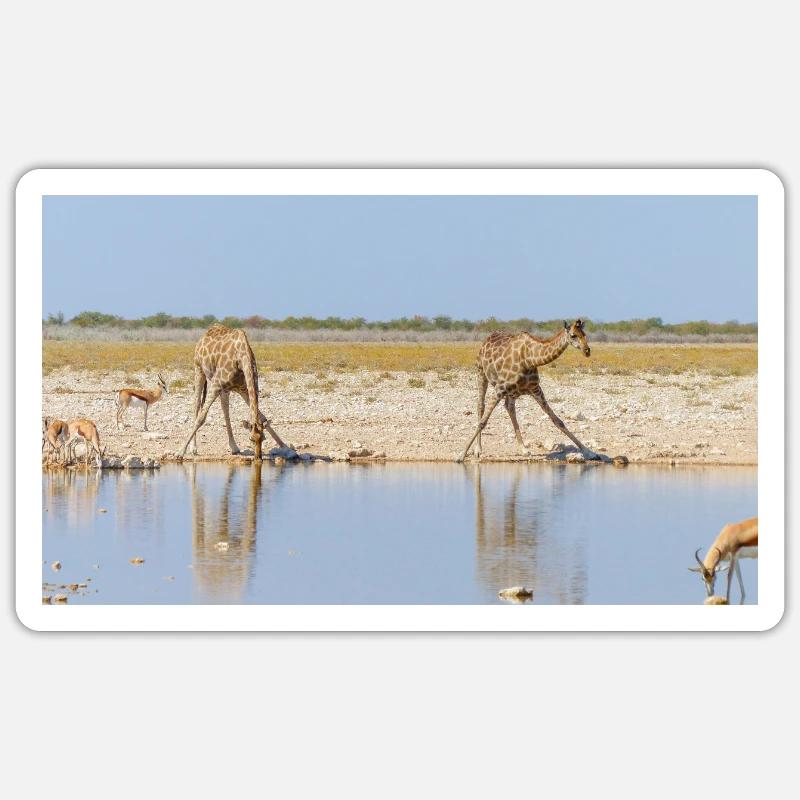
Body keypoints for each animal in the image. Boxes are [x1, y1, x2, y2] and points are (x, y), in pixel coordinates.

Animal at [177, 324, 286, 459]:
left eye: (263, 439)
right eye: (250, 439)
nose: (258, 458)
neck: (242, 357)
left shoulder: (244, 389)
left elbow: (262, 417)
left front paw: (286, 447)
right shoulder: (216, 385)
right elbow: (201, 418)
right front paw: (180, 452)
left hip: (225, 389)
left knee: (225, 410)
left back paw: (234, 447)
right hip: (199, 370)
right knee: (196, 406)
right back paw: (194, 448)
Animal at [457, 319, 599, 462]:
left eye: (584, 334)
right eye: (573, 335)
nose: (587, 351)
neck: (530, 359)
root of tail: (487, 338)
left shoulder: (536, 389)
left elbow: (558, 421)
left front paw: (589, 452)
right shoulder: (500, 388)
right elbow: (482, 422)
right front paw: (461, 455)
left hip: (512, 392)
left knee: (509, 407)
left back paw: (523, 449)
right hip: (481, 373)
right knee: (481, 406)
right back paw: (478, 450)